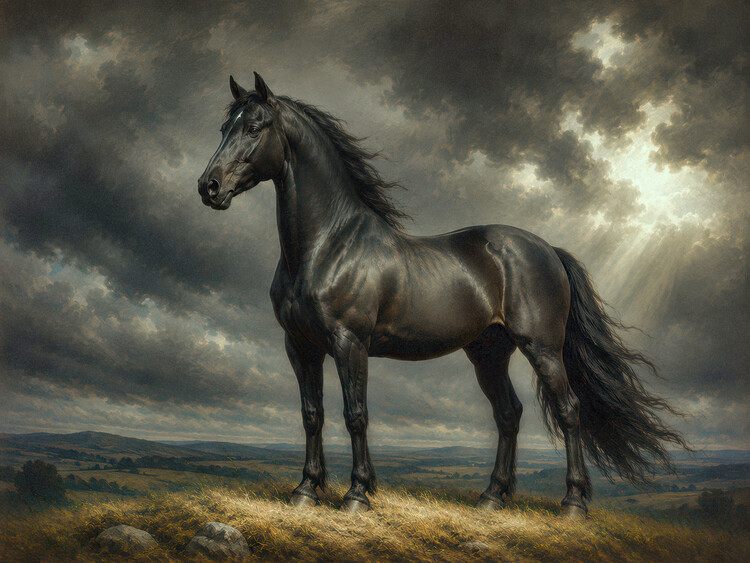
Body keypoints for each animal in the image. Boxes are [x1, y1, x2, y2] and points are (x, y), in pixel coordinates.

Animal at [197, 72, 687, 518]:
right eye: (223, 128)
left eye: (255, 127)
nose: (209, 187)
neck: (328, 246)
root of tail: (548, 249)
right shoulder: (300, 346)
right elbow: (311, 414)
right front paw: (305, 491)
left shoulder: (349, 343)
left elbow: (355, 414)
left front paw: (356, 496)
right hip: (489, 352)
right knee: (508, 414)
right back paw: (492, 498)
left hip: (543, 348)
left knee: (568, 410)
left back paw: (573, 505)